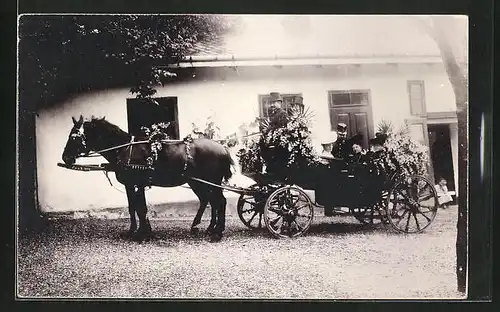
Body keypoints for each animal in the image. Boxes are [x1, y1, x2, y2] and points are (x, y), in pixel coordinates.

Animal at [61, 115, 233, 241]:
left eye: (74, 137)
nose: (65, 158)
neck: (125, 149)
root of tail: (223, 148)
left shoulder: (136, 184)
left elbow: (140, 208)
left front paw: (141, 233)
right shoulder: (131, 185)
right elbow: (134, 208)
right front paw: (135, 230)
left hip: (211, 182)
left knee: (220, 201)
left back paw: (217, 232)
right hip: (198, 182)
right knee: (209, 201)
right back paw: (207, 227)